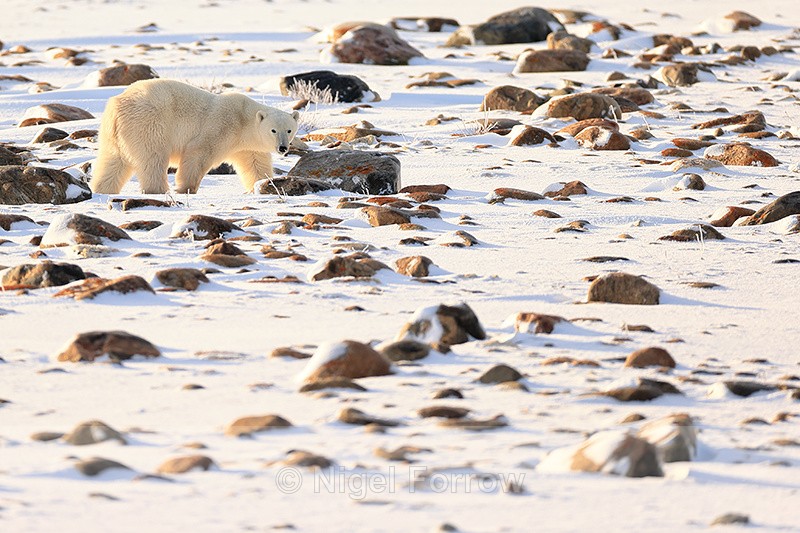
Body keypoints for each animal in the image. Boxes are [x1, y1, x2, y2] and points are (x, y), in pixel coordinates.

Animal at [90, 79, 300, 194]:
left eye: (289, 130)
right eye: (273, 130)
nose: (283, 148)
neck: (243, 119)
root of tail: (117, 106)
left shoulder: (248, 146)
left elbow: (256, 165)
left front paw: (263, 185)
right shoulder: (221, 125)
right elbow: (198, 153)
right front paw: (186, 188)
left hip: (113, 134)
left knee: (112, 162)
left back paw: (102, 189)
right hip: (150, 124)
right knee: (153, 158)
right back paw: (158, 190)